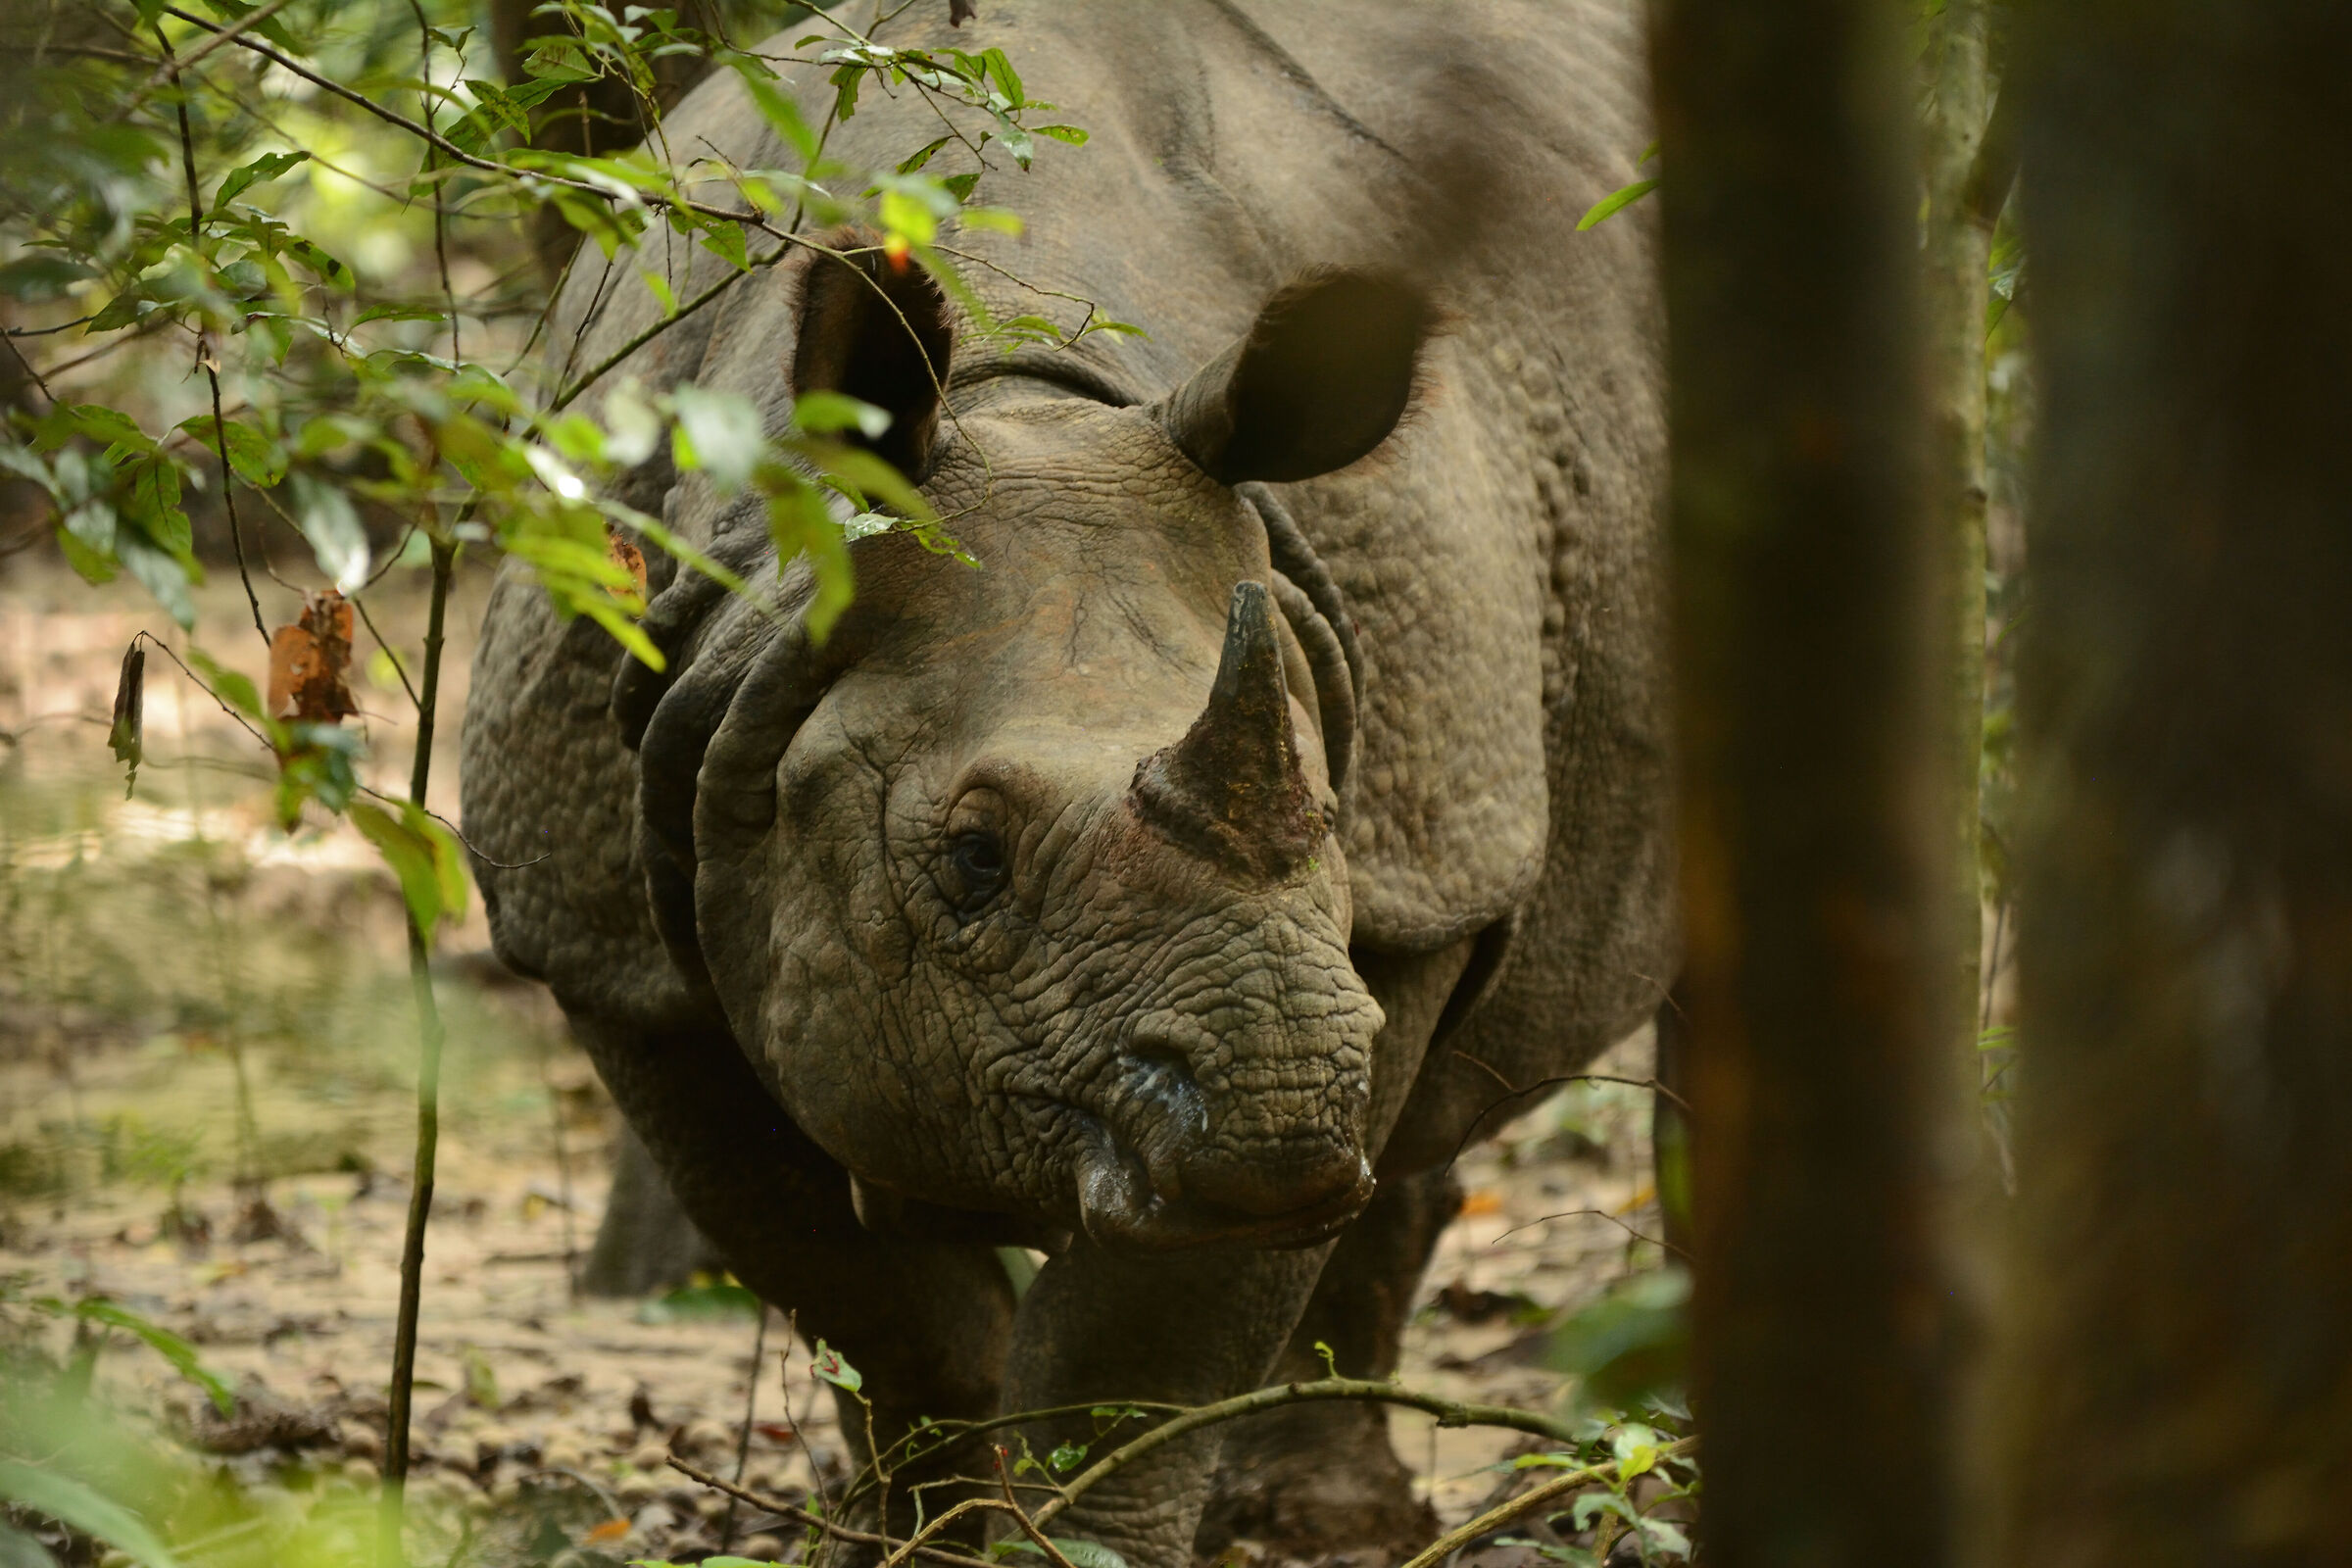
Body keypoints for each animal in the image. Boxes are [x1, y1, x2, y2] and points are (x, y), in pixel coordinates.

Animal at [461, 1, 1671, 1561]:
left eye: (1328, 808)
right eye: (971, 859)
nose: (1278, 1111)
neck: (1023, 397)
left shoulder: (1416, 862)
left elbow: (1137, 1355)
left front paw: (1075, 1532)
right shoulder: (605, 931)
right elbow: (881, 1309)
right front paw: (917, 1534)